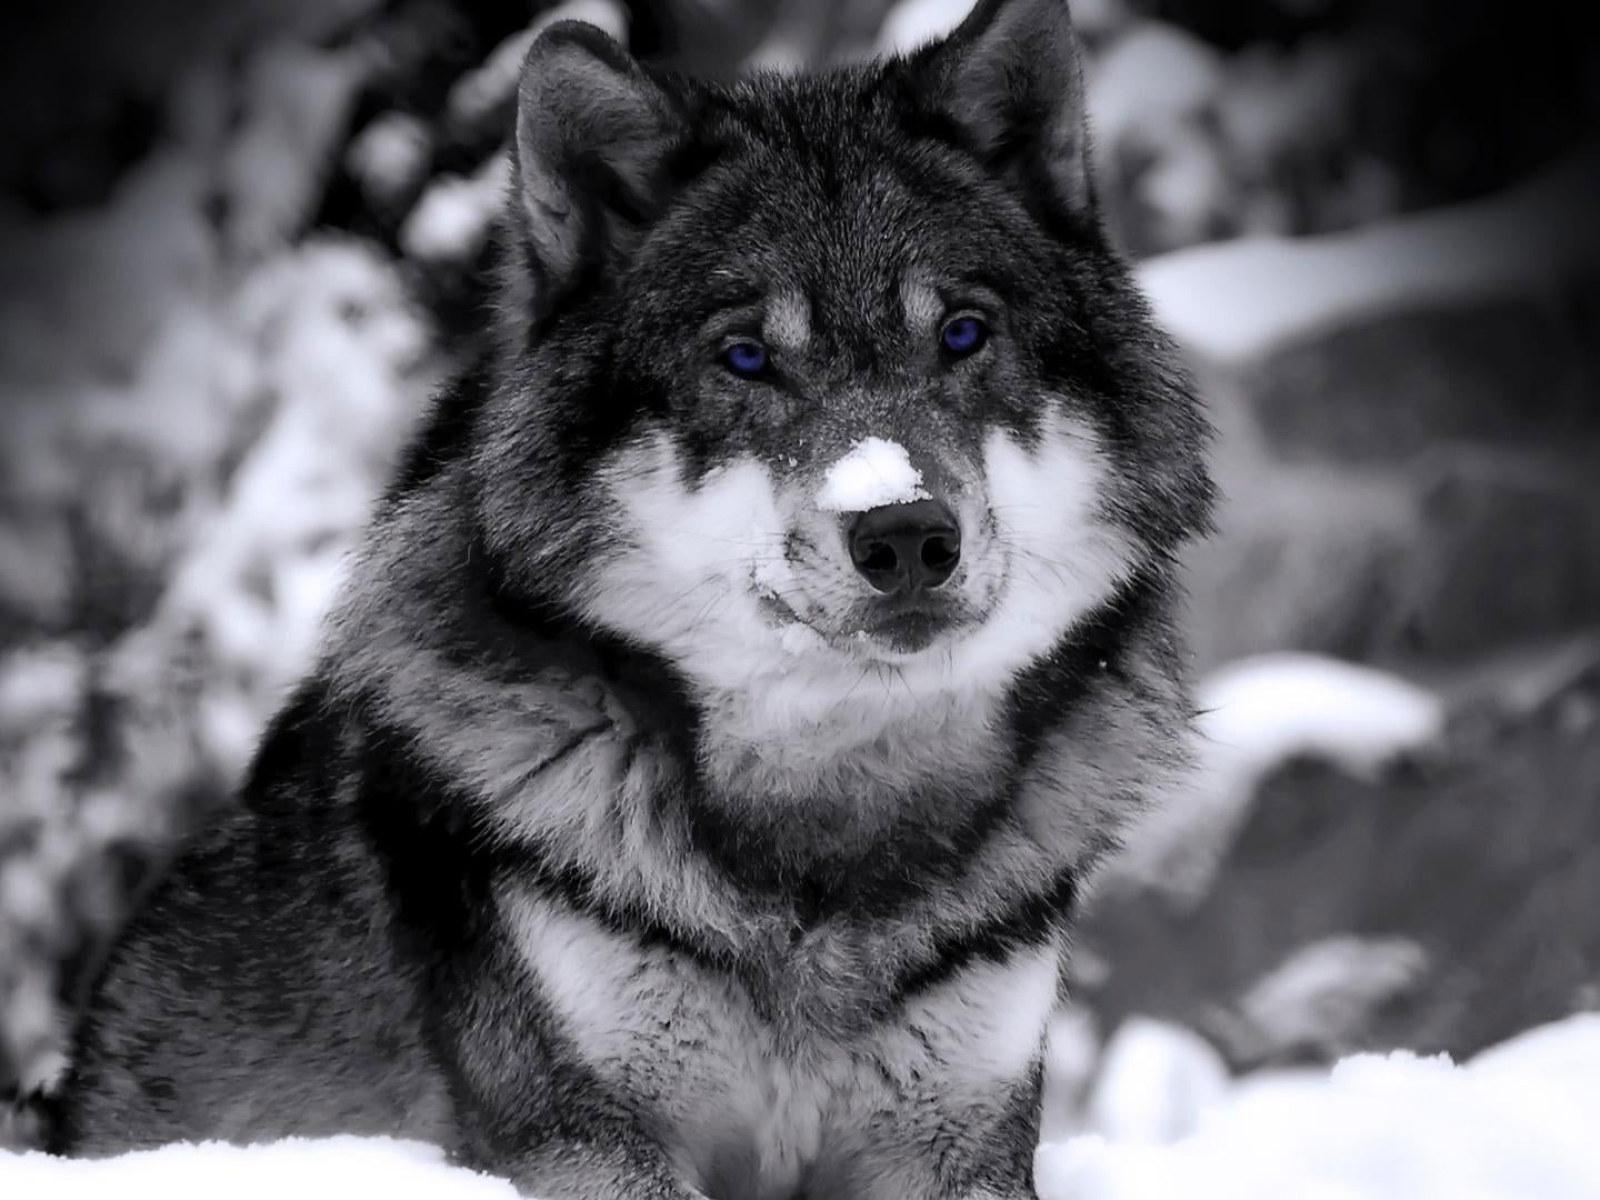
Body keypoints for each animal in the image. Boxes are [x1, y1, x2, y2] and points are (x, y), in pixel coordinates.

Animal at [49, 1, 1213, 1196]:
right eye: (744, 357)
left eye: (964, 335)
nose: (904, 533)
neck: (825, 836)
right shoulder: (586, 1135)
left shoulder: (964, 1140)